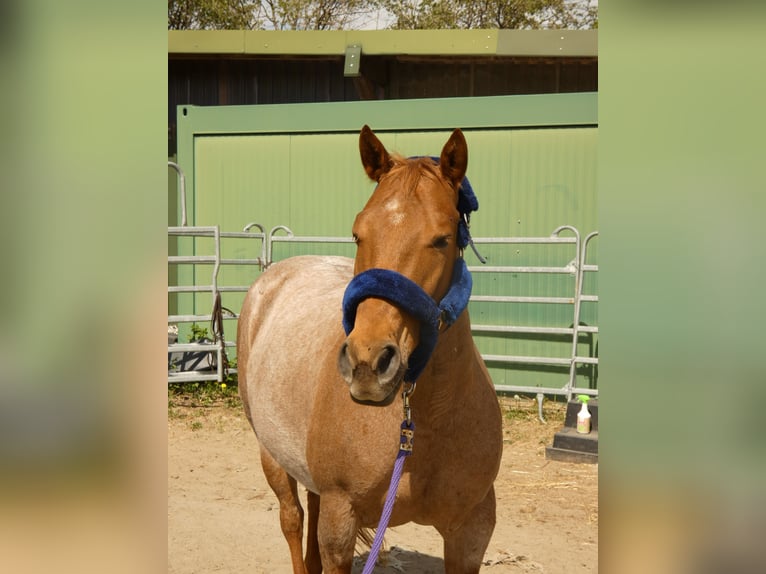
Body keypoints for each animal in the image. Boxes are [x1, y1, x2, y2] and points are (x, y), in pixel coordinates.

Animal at [237, 125, 503, 573]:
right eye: (358, 232)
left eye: (442, 239)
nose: (368, 362)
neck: (424, 422)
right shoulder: (340, 522)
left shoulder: (472, 533)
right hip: (271, 455)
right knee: (292, 518)